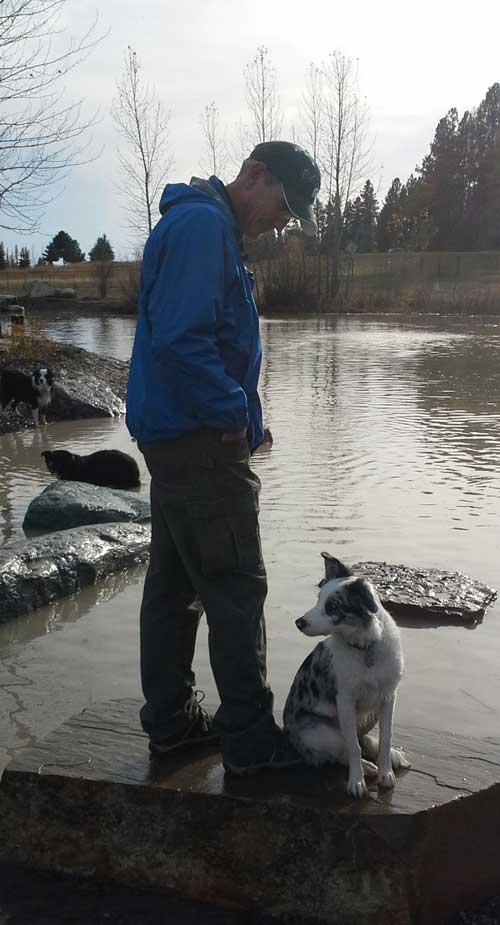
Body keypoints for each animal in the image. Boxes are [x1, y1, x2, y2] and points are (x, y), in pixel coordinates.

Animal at [286, 552, 410, 796]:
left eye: (332, 606)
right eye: (318, 599)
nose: (298, 622)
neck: (365, 647)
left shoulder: (389, 697)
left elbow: (386, 737)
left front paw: (386, 772)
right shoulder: (345, 701)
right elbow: (352, 746)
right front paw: (356, 781)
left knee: (364, 738)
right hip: (319, 732)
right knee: (340, 750)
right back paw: (365, 766)